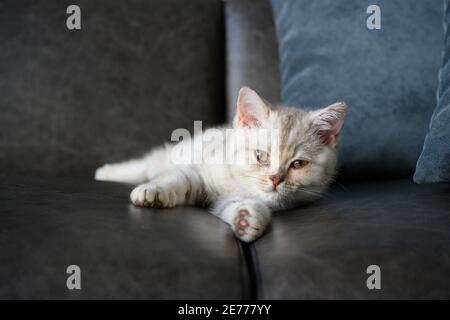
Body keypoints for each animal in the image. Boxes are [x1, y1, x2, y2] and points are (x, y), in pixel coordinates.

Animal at [95, 87, 346, 242]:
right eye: (261, 156)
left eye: (298, 164)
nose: (275, 179)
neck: (236, 180)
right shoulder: (198, 171)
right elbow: (178, 178)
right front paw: (153, 191)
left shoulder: (232, 198)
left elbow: (233, 205)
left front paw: (247, 218)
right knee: (147, 164)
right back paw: (106, 172)